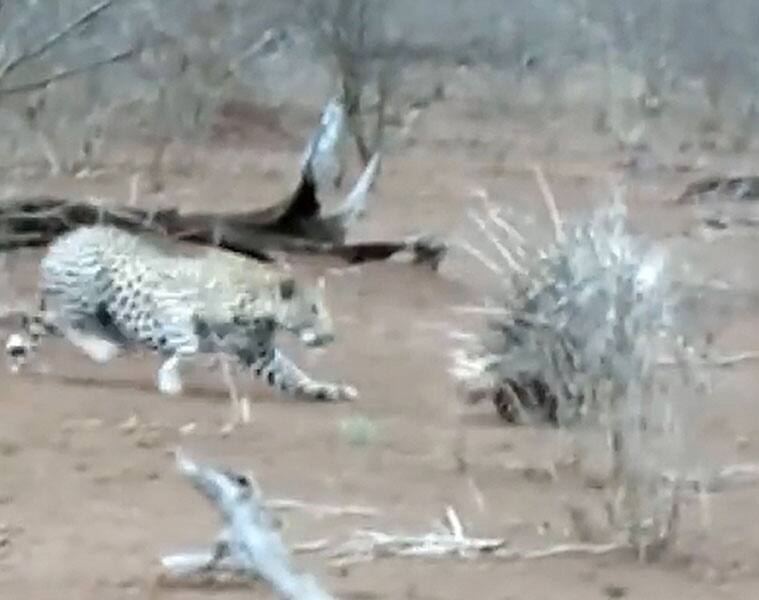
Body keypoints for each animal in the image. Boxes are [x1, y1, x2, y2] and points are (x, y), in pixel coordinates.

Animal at [5, 225, 358, 404]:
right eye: (313, 309)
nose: (331, 335)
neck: (263, 305)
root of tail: (64, 237)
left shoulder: (257, 352)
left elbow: (293, 374)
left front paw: (326, 389)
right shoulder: (172, 305)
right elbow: (188, 347)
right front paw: (169, 378)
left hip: (102, 314)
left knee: (54, 323)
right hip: (87, 287)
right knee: (64, 318)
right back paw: (102, 349)